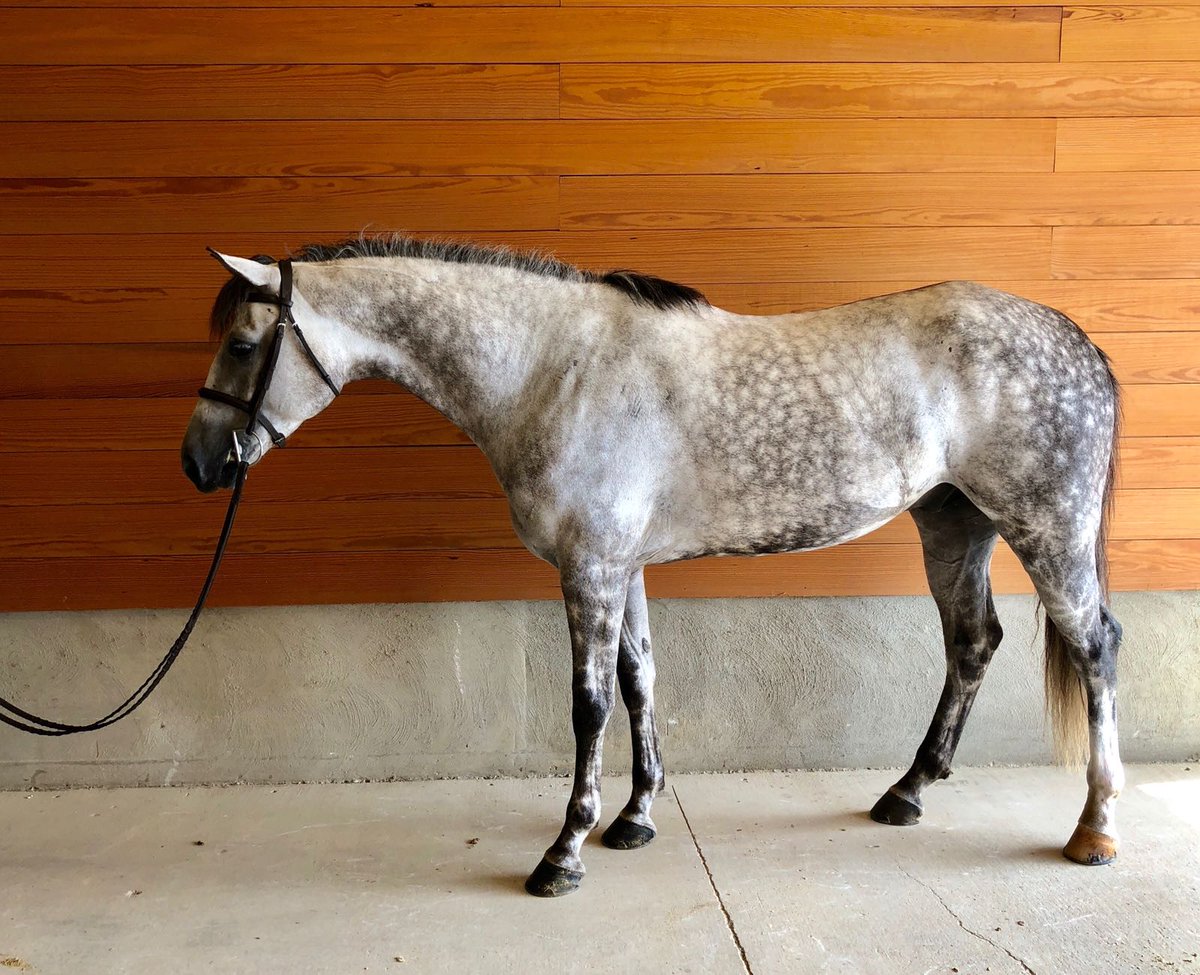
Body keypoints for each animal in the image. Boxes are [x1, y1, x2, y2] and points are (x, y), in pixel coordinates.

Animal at [182, 235, 1123, 898]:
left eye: (242, 344)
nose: (198, 464)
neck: (551, 367)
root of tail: (1075, 338)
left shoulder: (590, 567)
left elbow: (589, 703)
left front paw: (565, 849)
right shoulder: (619, 565)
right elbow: (639, 677)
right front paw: (636, 816)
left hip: (1046, 530)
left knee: (1095, 648)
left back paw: (1096, 827)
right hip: (954, 521)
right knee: (972, 641)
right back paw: (908, 791)